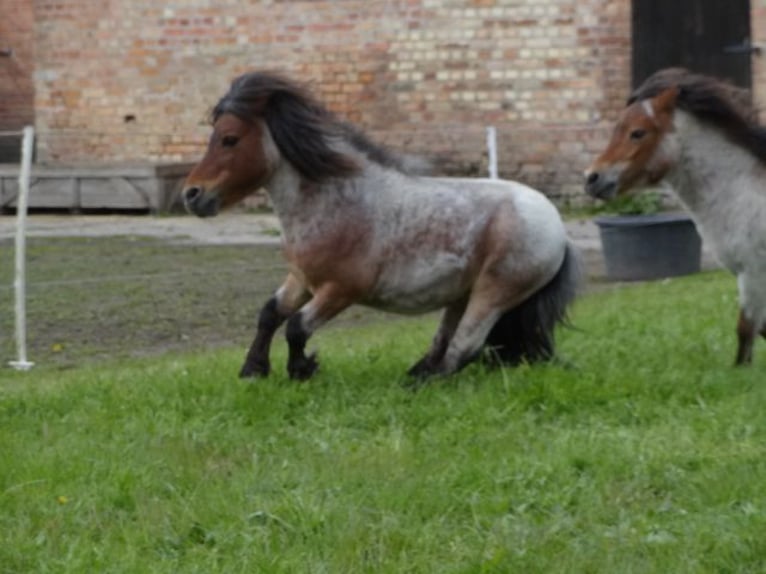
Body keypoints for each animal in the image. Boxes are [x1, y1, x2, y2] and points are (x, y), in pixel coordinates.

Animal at [184, 73, 584, 388]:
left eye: (230, 138)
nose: (192, 195)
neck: (335, 200)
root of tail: (559, 230)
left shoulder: (340, 290)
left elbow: (296, 326)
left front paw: (301, 370)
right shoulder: (301, 279)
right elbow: (270, 313)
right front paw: (253, 369)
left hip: (494, 292)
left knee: (463, 349)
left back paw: (421, 385)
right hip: (463, 294)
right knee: (446, 341)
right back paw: (416, 373)